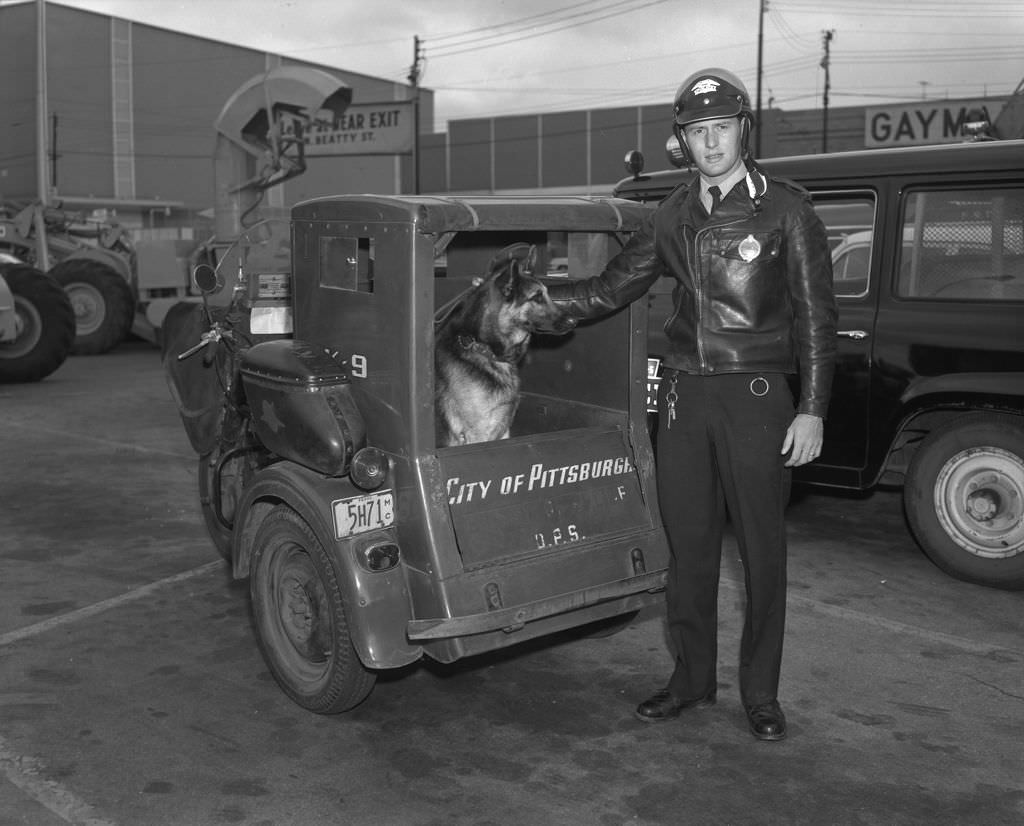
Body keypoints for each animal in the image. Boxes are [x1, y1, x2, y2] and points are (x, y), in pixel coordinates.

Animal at [434, 245, 573, 446]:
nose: (574, 321)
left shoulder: (503, 431)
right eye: (536, 297)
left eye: (548, 294)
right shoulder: (477, 433)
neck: (482, 348)